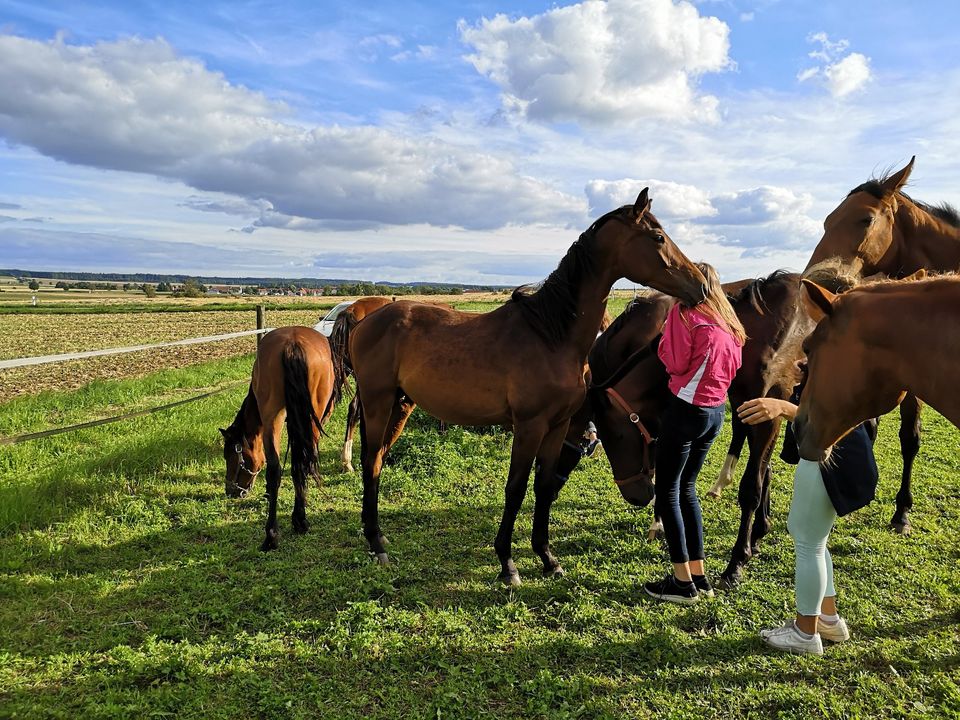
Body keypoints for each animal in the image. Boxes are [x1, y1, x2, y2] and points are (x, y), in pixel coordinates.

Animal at [219, 326, 340, 552]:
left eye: (229, 455)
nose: (231, 491)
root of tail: (292, 345)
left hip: (275, 417)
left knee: (279, 467)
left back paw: (274, 534)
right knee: (293, 465)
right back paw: (290, 525)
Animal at [342, 191, 708, 584]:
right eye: (658, 237)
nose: (700, 286)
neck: (551, 336)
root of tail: (365, 320)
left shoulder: (558, 426)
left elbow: (543, 486)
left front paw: (547, 557)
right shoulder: (529, 425)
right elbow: (516, 488)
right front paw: (507, 562)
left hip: (400, 404)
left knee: (377, 459)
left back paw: (377, 536)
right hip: (378, 402)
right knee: (370, 461)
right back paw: (376, 542)